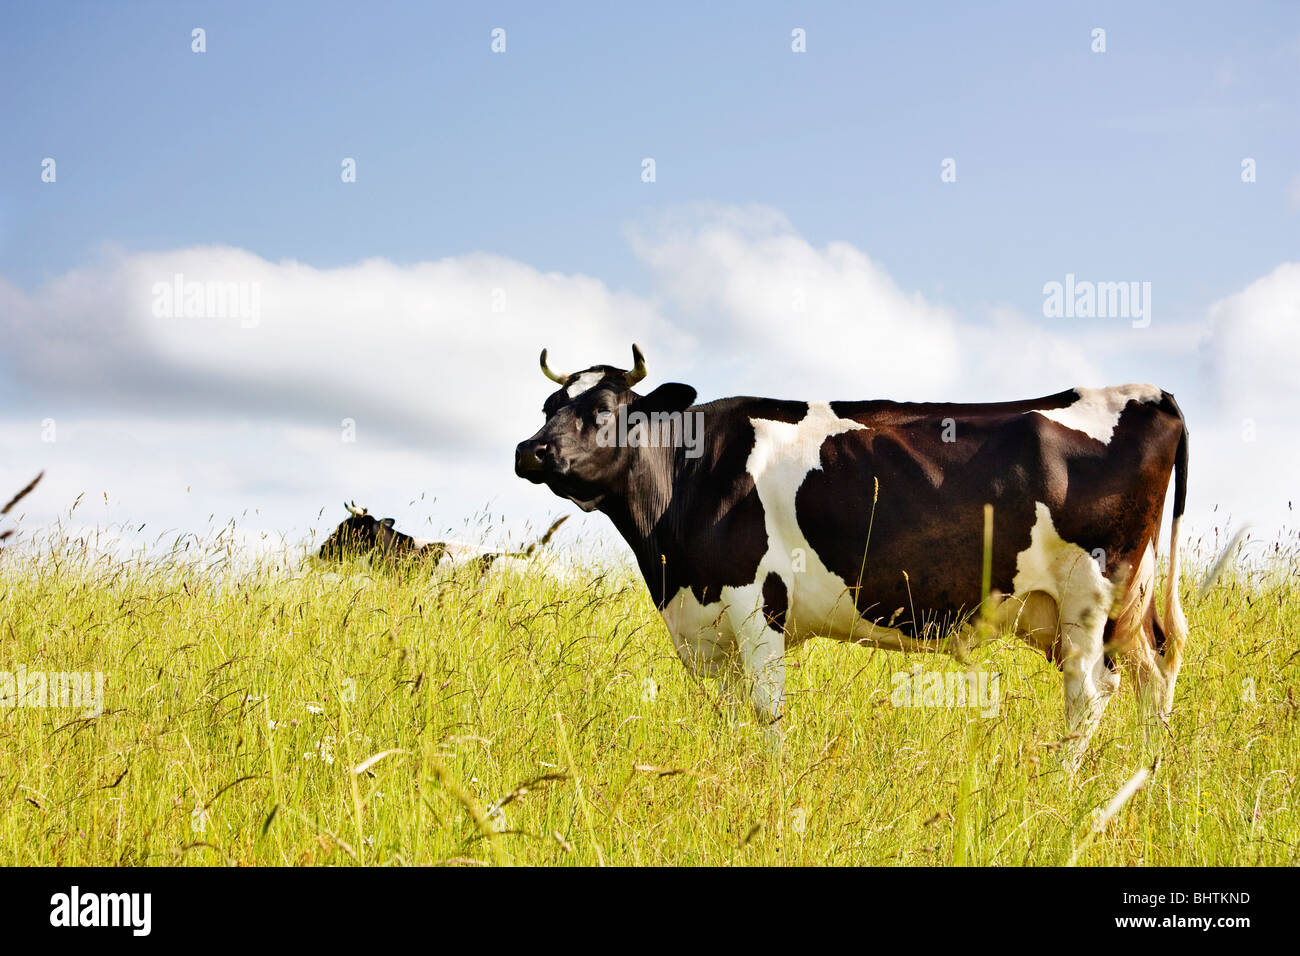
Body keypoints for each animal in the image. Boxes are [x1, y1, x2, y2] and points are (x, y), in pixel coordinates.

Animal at [514, 345, 1189, 767]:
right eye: (548, 408)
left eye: (603, 411)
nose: (531, 451)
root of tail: (1147, 393)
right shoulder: (708, 628)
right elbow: (732, 716)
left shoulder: (756, 603)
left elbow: (766, 710)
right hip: (1125, 604)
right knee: (1153, 673)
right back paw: (1149, 775)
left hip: (1088, 594)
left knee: (1091, 691)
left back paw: (1062, 783)